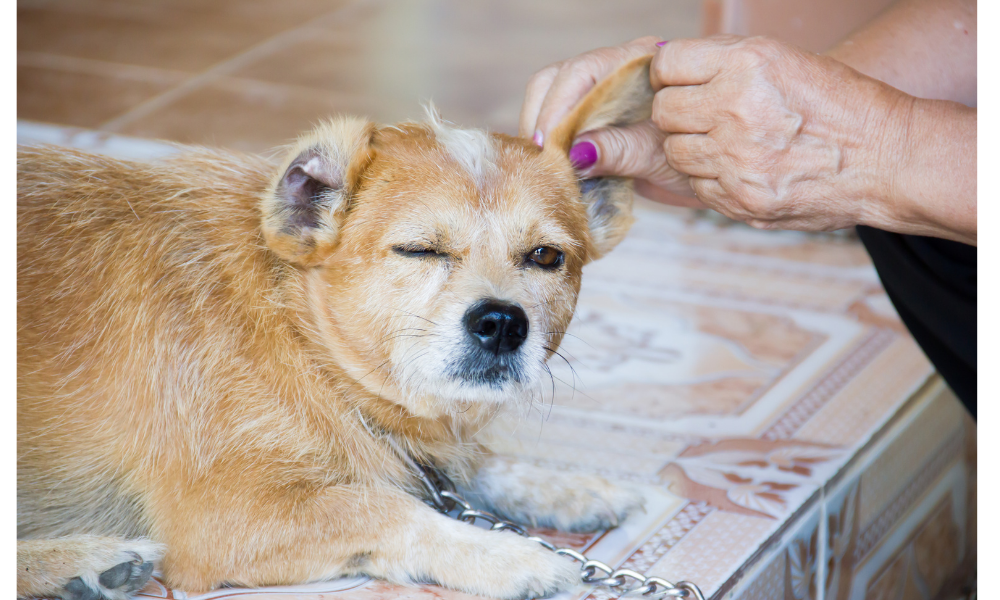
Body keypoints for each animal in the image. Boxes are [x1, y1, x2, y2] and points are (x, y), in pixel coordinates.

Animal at [17, 56, 656, 600]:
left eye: (546, 257)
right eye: (419, 250)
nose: (501, 322)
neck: (297, 336)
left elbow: (478, 462)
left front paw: (571, 487)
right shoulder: (221, 518)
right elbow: (384, 507)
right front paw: (507, 556)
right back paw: (79, 562)